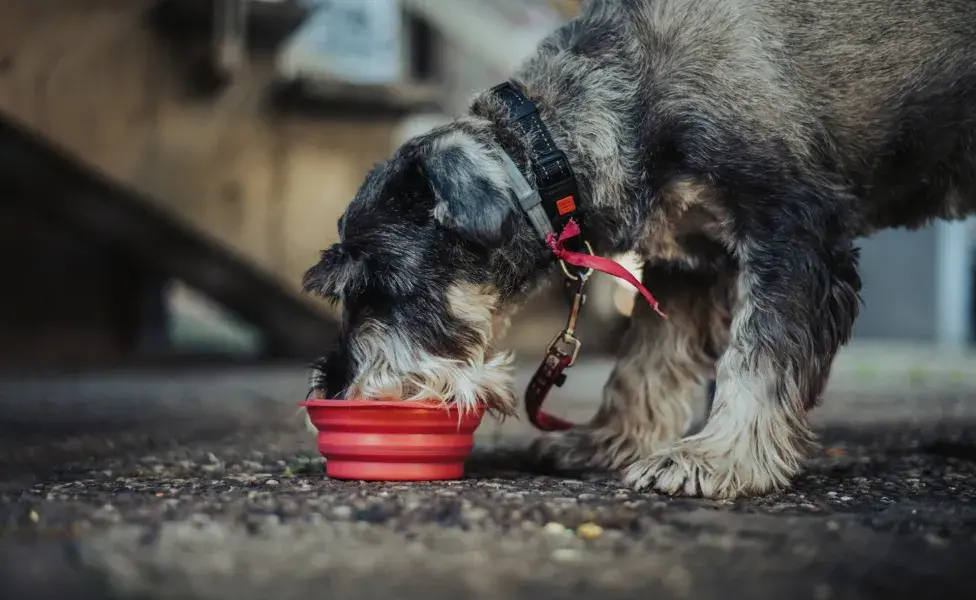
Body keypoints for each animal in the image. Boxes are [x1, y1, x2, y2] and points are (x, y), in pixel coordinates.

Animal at [302, 0, 976, 496]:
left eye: (378, 287)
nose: (332, 384)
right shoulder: (689, 263)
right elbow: (649, 359)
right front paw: (609, 439)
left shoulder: (795, 236)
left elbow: (759, 356)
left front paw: (716, 458)